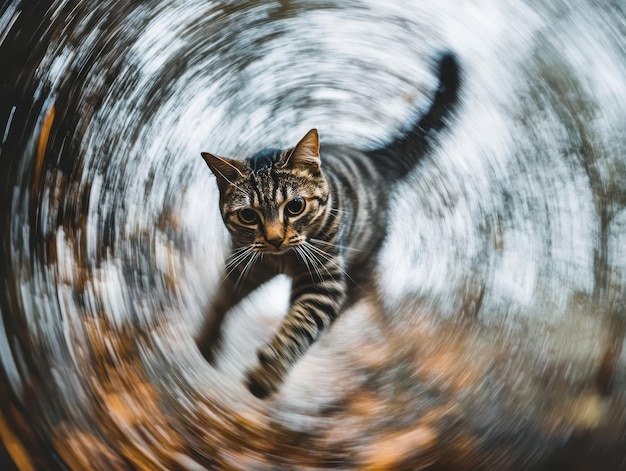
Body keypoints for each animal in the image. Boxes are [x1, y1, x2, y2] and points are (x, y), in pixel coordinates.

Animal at [197, 52, 460, 398]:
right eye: (249, 216)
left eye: (295, 206)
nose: (275, 238)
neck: (280, 261)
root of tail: (373, 156)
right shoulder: (244, 265)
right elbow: (219, 300)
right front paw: (206, 341)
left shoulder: (324, 282)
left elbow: (301, 324)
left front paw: (269, 372)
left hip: (355, 276)